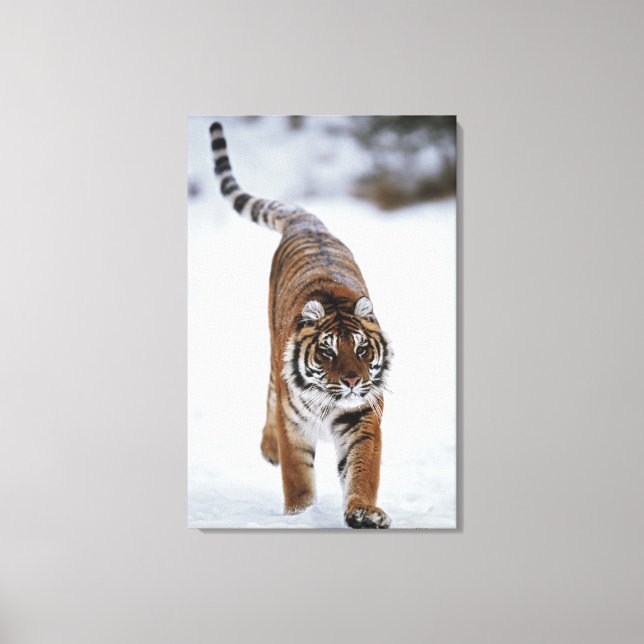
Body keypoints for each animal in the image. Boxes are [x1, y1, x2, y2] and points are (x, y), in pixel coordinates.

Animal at [209, 121, 392, 529]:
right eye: (327, 351)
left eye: (361, 349)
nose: (352, 381)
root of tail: (308, 221)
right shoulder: (293, 423)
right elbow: (297, 477)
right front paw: (299, 516)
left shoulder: (362, 416)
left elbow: (362, 469)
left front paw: (363, 512)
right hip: (272, 355)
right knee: (267, 394)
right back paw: (268, 448)